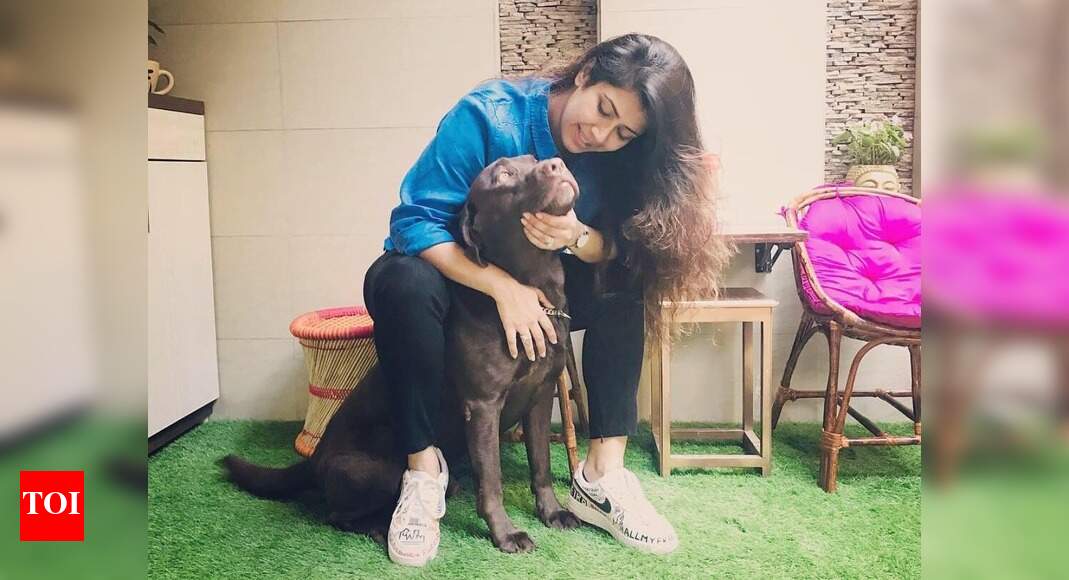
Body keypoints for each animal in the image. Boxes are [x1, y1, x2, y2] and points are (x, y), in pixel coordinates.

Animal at [222, 154, 582, 553]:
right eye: (502, 175)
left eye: (532, 159)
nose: (556, 164)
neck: (532, 285)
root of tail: (314, 460)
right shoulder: (483, 406)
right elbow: (492, 483)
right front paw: (505, 533)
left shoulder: (541, 395)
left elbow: (541, 464)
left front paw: (552, 512)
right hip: (377, 471)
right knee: (335, 515)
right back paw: (380, 527)